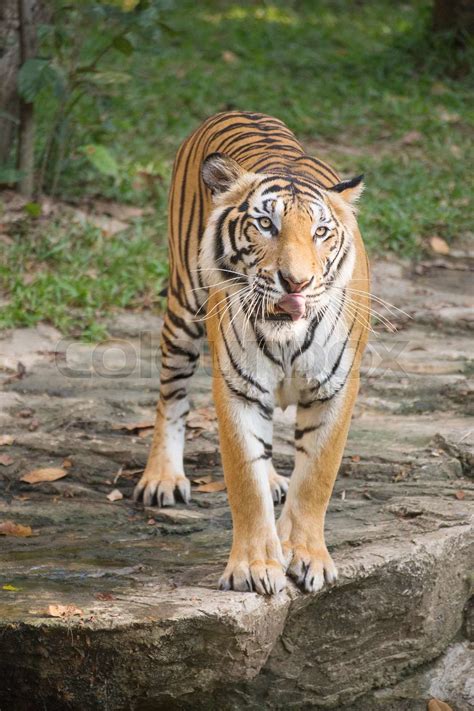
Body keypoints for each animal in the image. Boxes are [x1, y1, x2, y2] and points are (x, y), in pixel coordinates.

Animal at [133, 111, 370, 596]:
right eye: (266, 225)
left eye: (320, 232)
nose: (295, 282)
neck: (286, 338)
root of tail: (238, 111)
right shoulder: (238, 387)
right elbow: (245, 480)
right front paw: (254, 567)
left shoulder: (336, 388)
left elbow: (315, 477)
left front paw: (306, 556)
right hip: (183, 308)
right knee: (172, 395)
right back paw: (162, 478)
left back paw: (277, 479)